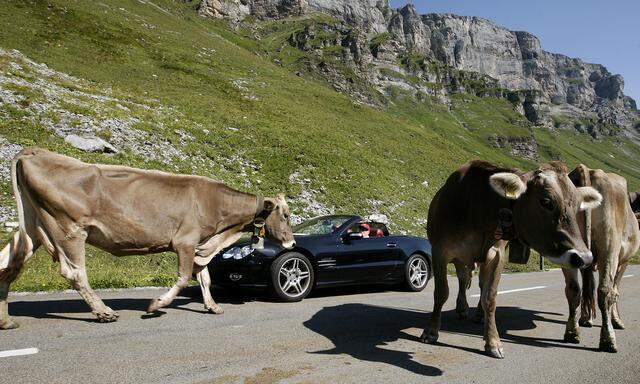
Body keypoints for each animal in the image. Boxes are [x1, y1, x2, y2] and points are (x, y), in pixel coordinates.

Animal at [0, 148, 296, 328]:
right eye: (286, 215)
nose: (292, 243)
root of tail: (34, 152)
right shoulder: (186, 242)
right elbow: (183, 278)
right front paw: (156, 304)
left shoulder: (202, 244)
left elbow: (204, 278)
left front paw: (212, 306)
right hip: (68, 228)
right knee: (74, 272)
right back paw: (104, 312)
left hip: (33, 228)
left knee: (9, 264)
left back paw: (5, 320)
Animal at [422, 160, 604, 358]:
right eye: (546, 201)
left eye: (578, 205)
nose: (585, 257)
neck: (475, 208)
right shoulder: (439, 252)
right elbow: (441, 292)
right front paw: (431, 332)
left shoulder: (496, 255)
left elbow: (490, 297)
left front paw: (493, 342)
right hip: (460, 258)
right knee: (463, 280)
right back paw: (462, 309)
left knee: (475, 283)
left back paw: (477, 314)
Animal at [564, 164, 640, 352]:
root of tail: (588, 170)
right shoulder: (624, 261)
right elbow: (615, 290)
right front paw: (617, 320)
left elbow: (588, 287)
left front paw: (586, 319)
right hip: (609, 244)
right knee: (605, 291)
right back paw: (608, 339)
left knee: (573, 289)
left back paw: (572, 332)